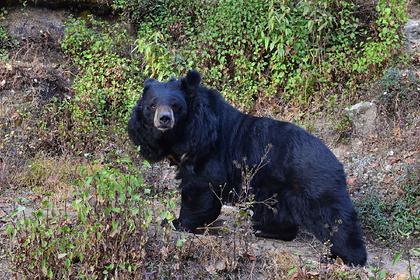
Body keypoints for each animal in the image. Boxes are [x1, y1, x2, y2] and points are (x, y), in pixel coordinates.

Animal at [128, 69, 368, 264]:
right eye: (152, 105)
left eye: (176, 106)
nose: (164, 119)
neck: (184, 133)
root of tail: (336, 161)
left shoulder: (208, 151)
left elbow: (200, 188)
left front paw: (176, 222)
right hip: (275, 188)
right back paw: (265, 230)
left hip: (314, 185)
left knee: (334, 219)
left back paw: (346, 257)